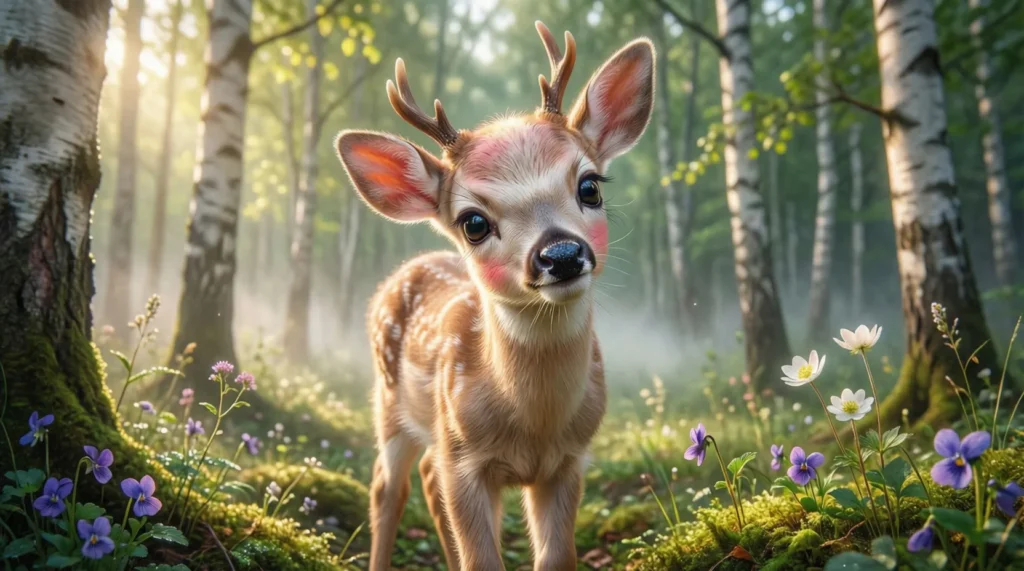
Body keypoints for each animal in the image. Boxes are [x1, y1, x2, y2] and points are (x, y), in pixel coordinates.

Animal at [334, 21, 654, 571]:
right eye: (474, 222)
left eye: (590, 186)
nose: (561, 253)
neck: (534, 423)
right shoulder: (463, 459)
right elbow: (481, 558)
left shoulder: (571, 460)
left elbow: (556, 557)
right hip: (391, 403)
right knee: (386, 486)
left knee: (424, 479)